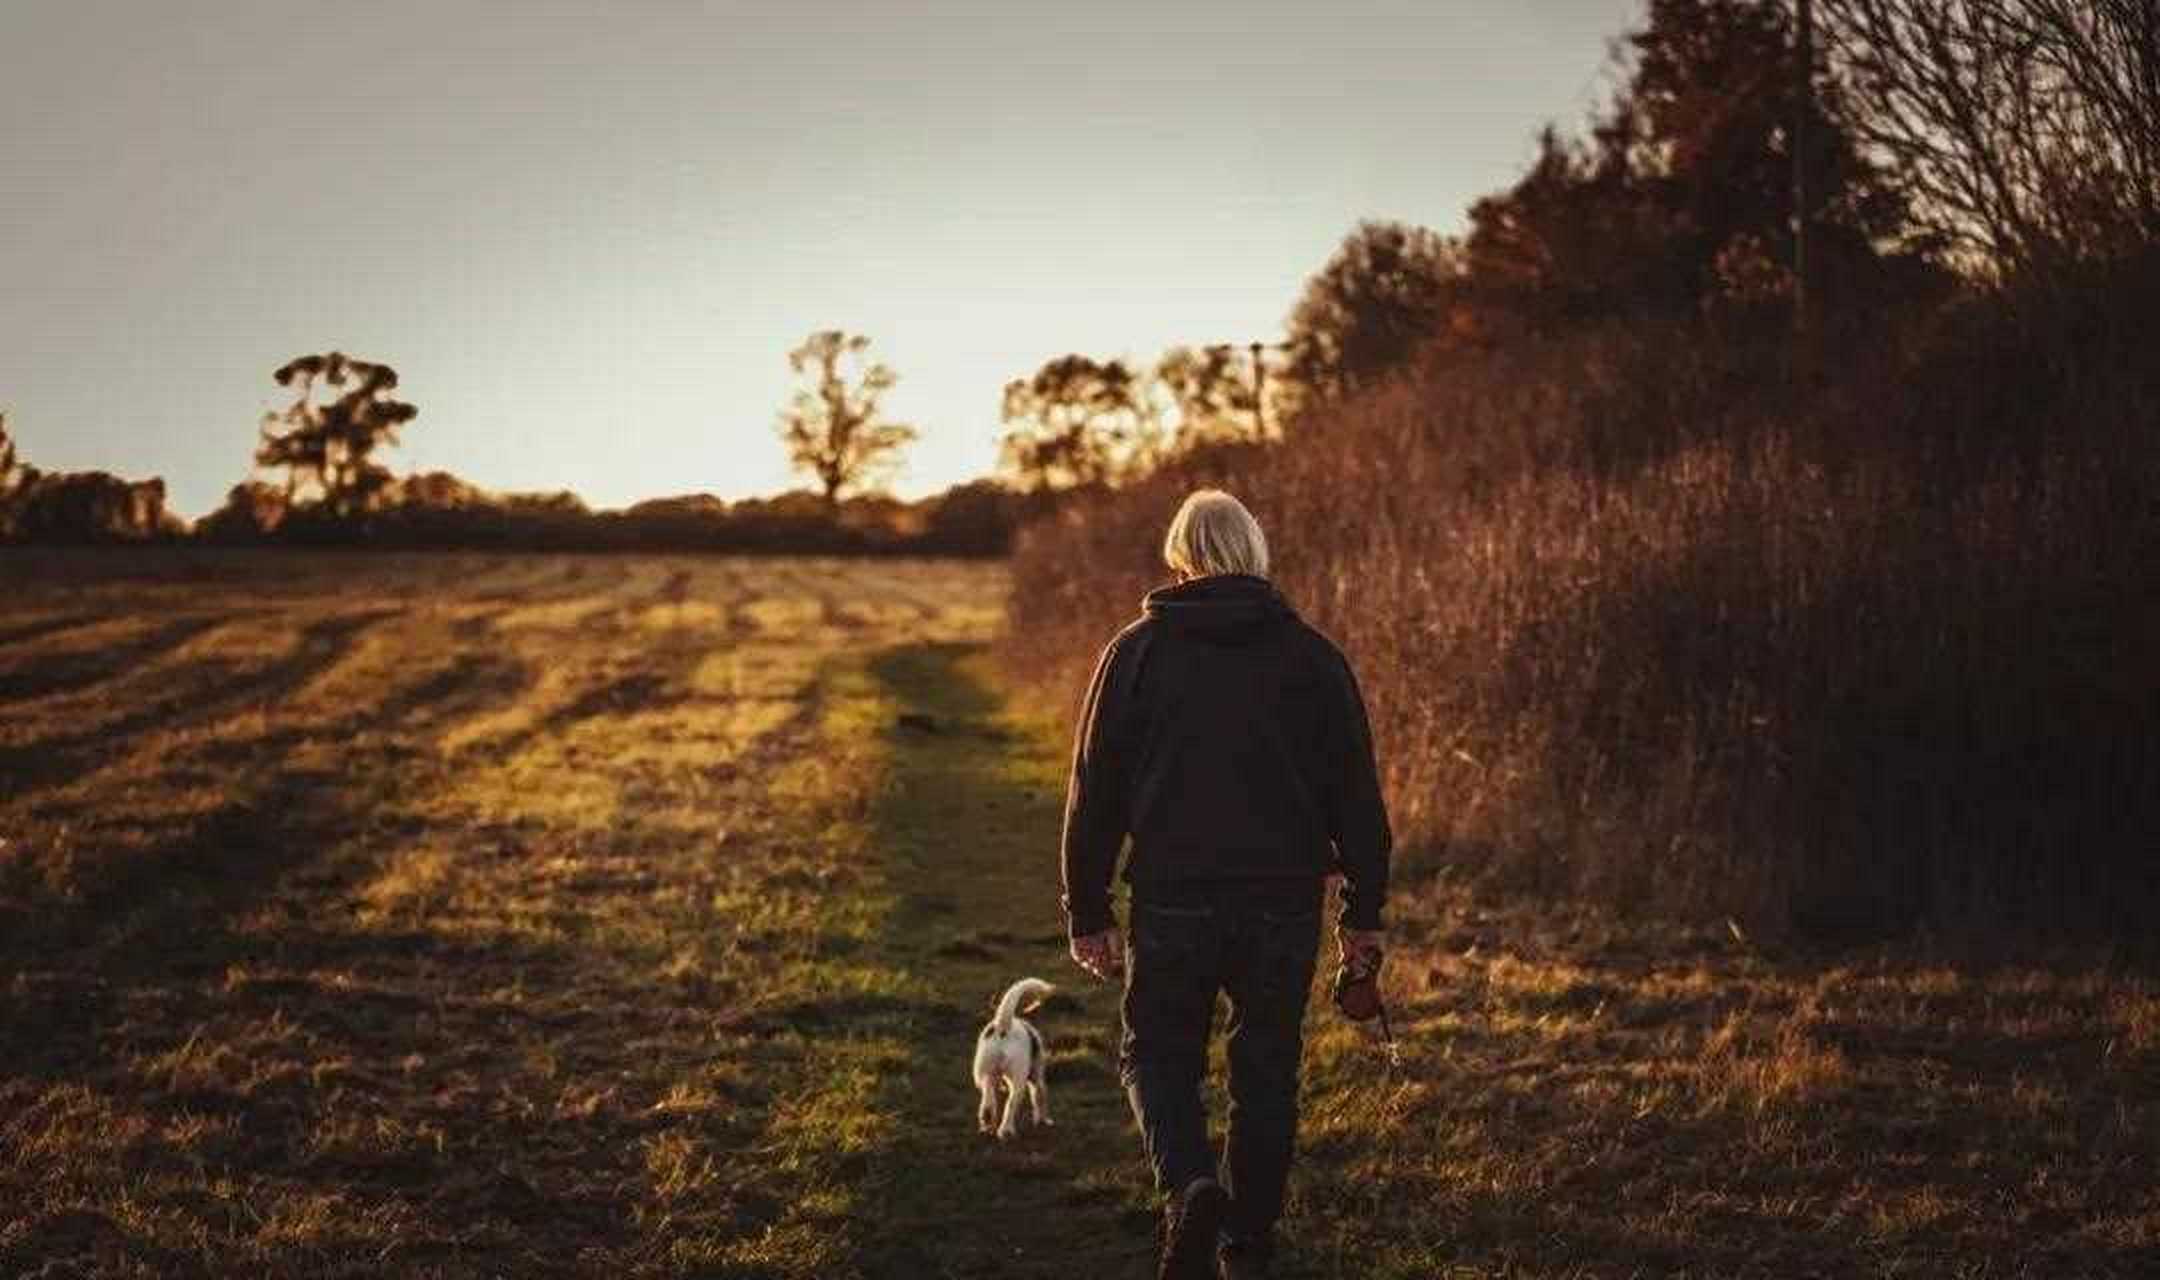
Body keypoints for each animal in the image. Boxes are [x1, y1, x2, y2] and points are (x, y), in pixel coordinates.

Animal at [972, 979, 1054, 1139]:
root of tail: (1004, 1027)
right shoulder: (1037, 1075)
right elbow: (1039, 1096)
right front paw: (1043, 1120)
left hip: (985, 1072)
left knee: (988, 1099)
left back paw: (988, 1122)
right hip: (1019, 1079)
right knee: (1011, 1104)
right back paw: (1006, 1130)